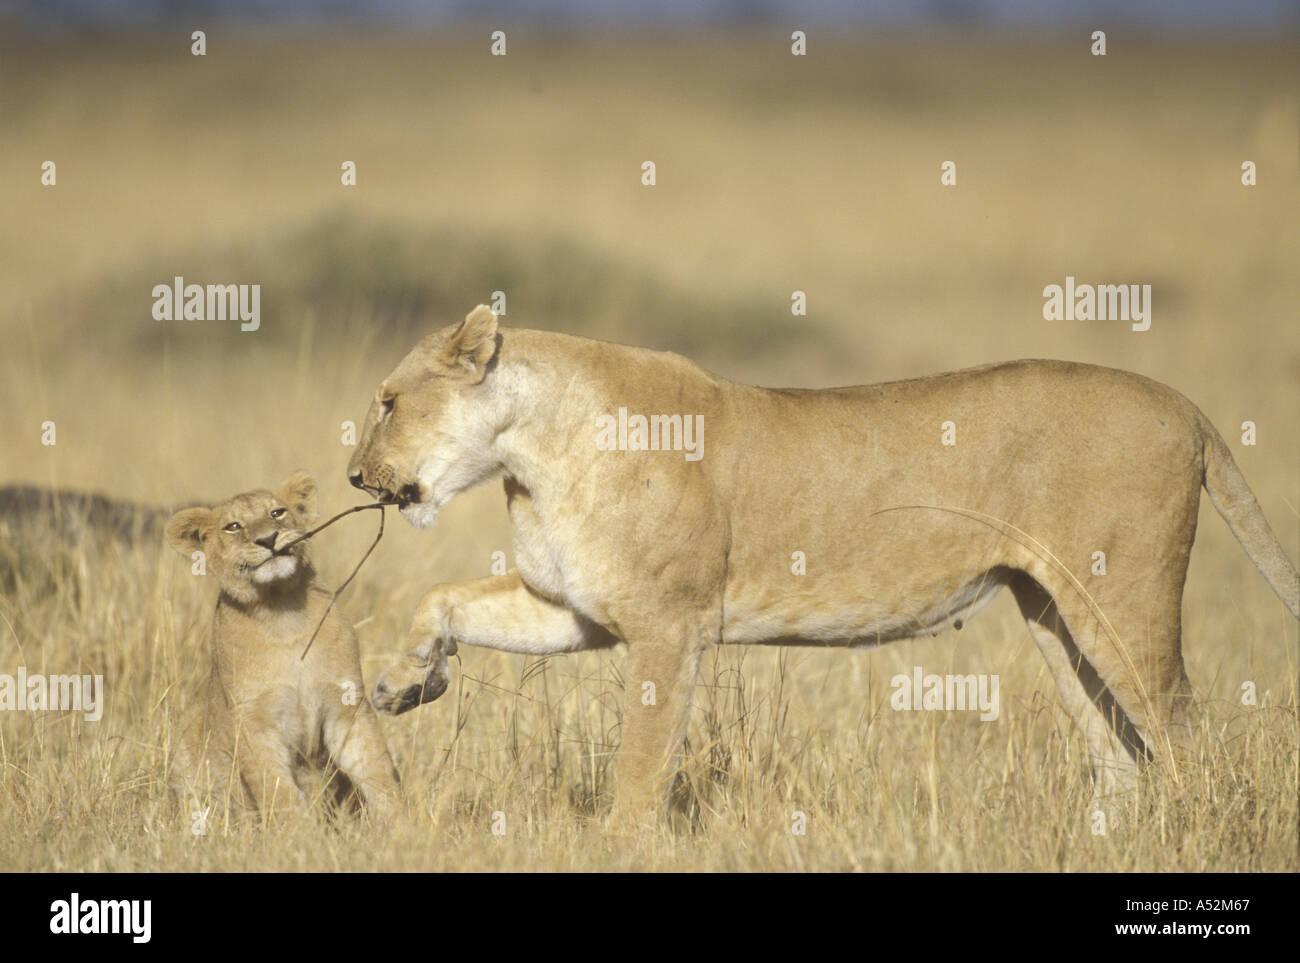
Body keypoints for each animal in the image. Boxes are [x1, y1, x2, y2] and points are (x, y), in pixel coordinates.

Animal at [165, 472, 401, 824]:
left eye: (277, 512)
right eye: (233, 526)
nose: (268, 539)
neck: (280, 610)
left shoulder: (346, 704)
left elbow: (377, 770)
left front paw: (402, 824)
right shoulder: (253, 722)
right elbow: (279, 790)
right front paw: (300, 834)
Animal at [348, 305, 1299, 826]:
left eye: (389, 402)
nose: (355, 476)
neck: (529, 451)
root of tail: (1183, 404)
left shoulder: (668, 623)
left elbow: (641, 762)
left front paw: (622, 841)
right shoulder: (576, 609)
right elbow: (443, 595)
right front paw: (404, 682)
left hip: (1122, 600)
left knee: (1189, 741)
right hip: (1053, 613)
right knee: (1123, 759)